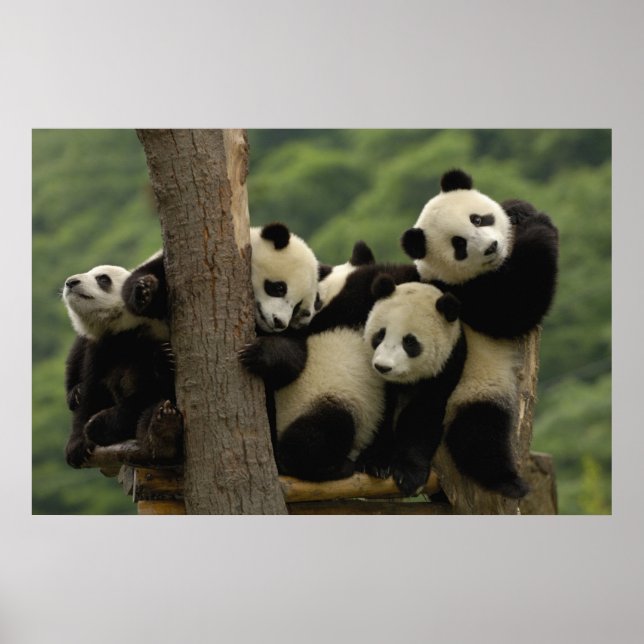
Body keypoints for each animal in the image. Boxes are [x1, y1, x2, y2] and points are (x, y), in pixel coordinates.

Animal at [62, 264, 182, 468]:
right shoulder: (100, 349)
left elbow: (146, 394)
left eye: (103, 279)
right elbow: (91, 392)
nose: (71, 282)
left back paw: (163, 431)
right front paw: (77, 446)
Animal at [363, 276, 466, 496]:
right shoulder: (381, 383)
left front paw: (409, 475)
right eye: (380, 335)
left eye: (410, 342)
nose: (383, 366)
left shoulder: (445, 369)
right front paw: (377, 463)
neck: (404, 381)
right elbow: (381, 411)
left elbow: (423, 417)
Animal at [399, 169, 559, 498]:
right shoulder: (465, 295)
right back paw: (507, 481)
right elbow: (518, 304)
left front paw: (519, 209)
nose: (491, 247)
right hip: (470, 390)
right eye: (459, 244)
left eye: (477, 219)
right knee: (478, 433)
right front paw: (540, 223)